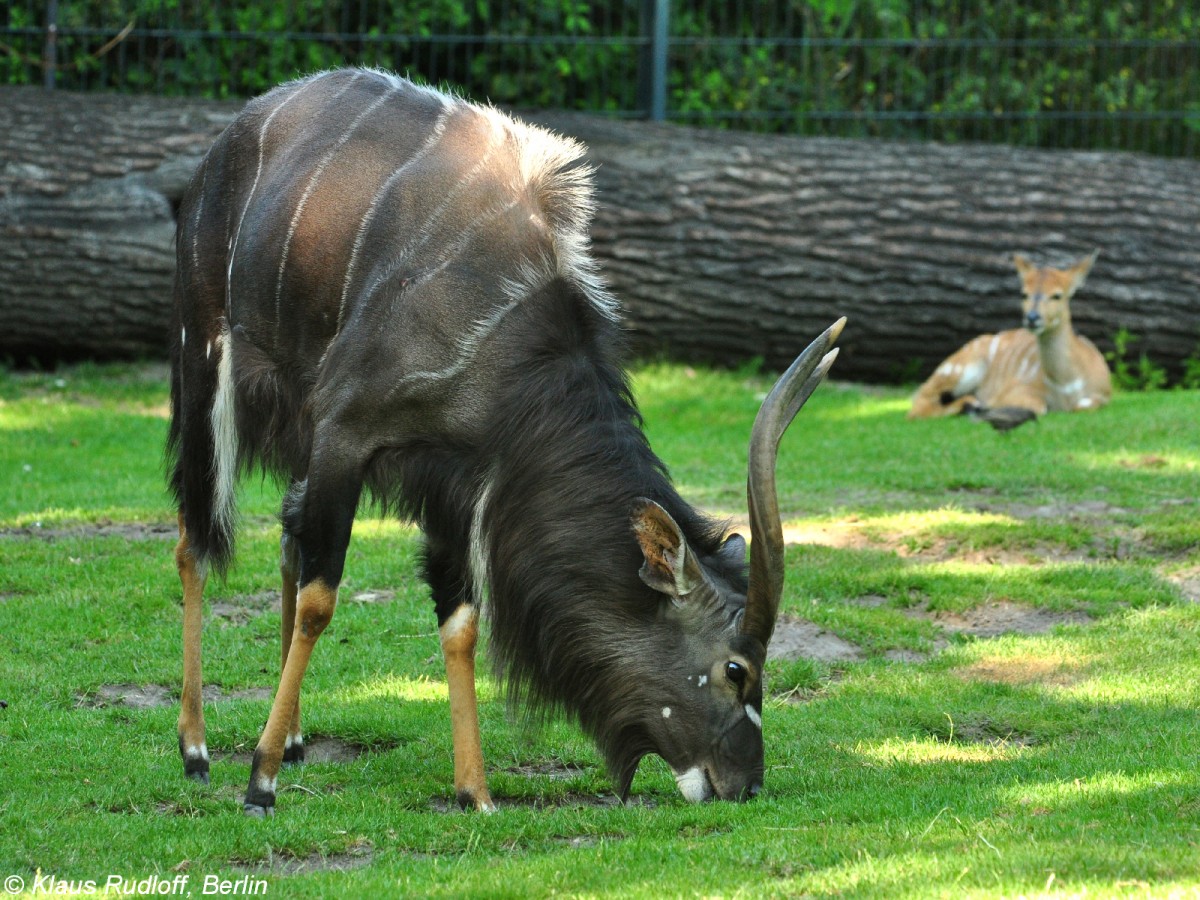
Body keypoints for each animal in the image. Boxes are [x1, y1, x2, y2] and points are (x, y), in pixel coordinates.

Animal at [169, 68, 844, 816]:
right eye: (735, 668)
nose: (745, 784)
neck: (506, 330)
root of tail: (233, 136)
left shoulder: (450, 479)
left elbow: (460, 619)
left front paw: (476, 791)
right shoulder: (347, 431)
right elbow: (322, 599)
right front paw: (259, 782)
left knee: (284, 539)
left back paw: (290, 740)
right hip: (205, 361)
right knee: (195, 540)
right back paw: (198, 750)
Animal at [907, 252, 1113, 432]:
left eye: (1057, 295)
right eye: (1024, 294)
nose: (1032, 318)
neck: (1066, 385)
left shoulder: (1103, 395)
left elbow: (1084, 405)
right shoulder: (1016, 389)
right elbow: (1037, 405)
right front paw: (987, 408)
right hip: (959, 369)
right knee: (917, 405)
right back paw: (971, 405)